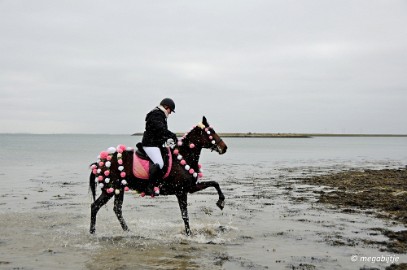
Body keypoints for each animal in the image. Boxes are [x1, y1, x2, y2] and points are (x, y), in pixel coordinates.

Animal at [89, 117, 228, 235]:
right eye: (211, 132)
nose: (224, 148)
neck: (182, 157)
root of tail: (100, 162)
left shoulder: (191, 187)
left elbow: (214, 183)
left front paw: (221, 202)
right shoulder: (181, 192)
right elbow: (185, 215)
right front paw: (189, 234)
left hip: (116, 189)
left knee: (111, 208)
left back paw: (121, 231)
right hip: (112, 189)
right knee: (100, 207)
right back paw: (96, 232)